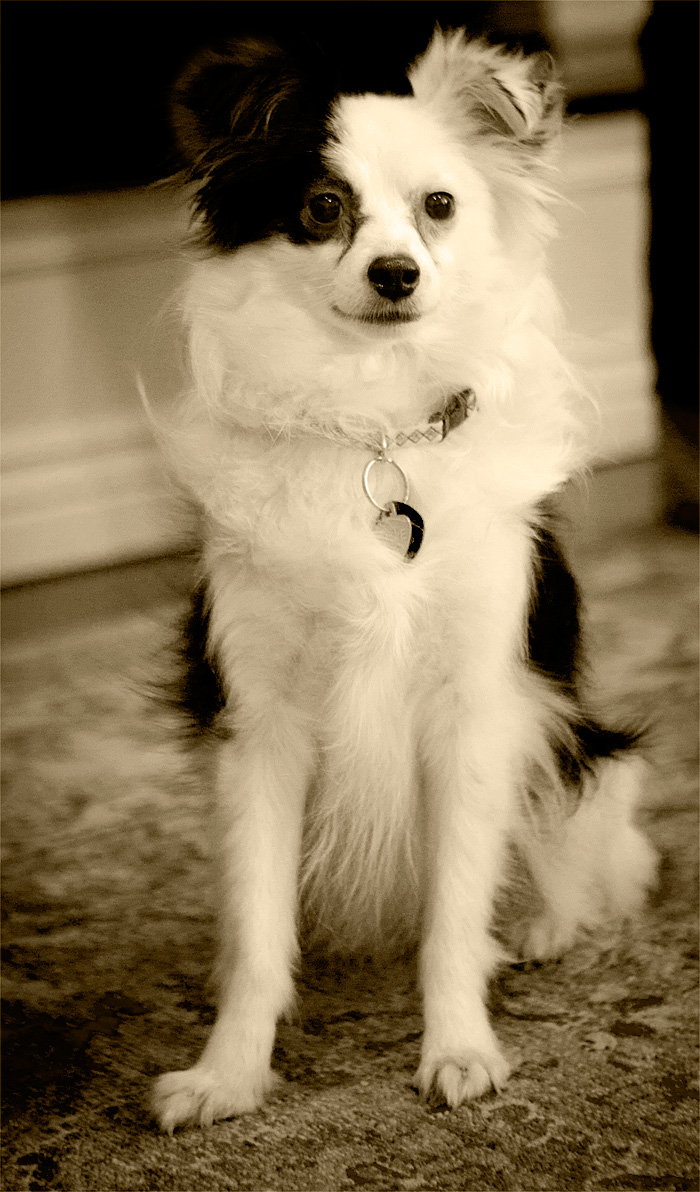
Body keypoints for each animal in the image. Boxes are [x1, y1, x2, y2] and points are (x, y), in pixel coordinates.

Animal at [152, 29, 657, 1132]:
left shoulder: (472, 710)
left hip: (572, 748)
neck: (370, 424)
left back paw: (547, 926)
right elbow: (259, 927)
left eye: (440, 205)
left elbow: (454, 914)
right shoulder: (260, 723)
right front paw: (228, 1071)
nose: (394, 274)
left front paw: (459, 1049)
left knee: (579, 854)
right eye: (320, 208)